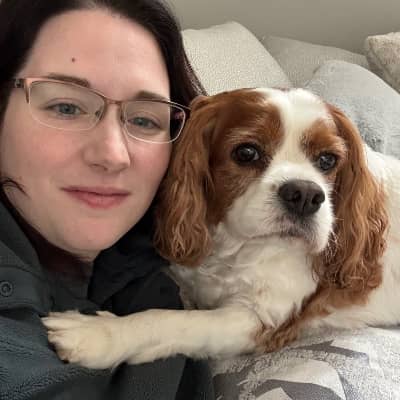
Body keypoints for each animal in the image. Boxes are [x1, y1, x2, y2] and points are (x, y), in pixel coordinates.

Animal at [42, 88, 400, 369]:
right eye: (246, 152)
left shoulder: (259, 321)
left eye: (327, 160)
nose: (305, 195)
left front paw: (101, 335)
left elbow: (173, 320)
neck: (237, 246)